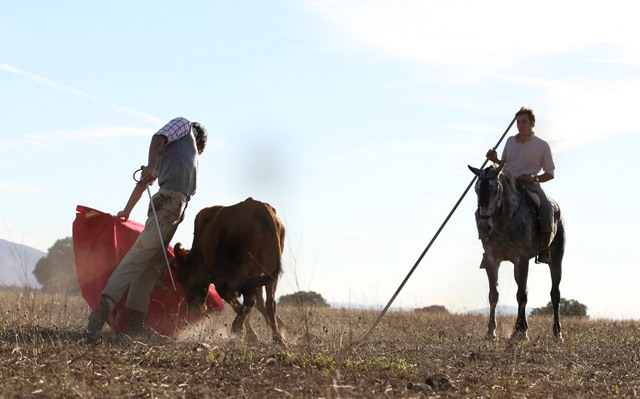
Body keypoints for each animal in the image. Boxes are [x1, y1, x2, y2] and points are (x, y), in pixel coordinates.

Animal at [175, 197, 284, 344]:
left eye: (184, 279)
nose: (194, 310)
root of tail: (256, 206)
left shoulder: (222, 285)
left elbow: (237, 305)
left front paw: (249, 334)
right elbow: (257, 305)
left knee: (250, 300)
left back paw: (239, 328)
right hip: (268, 269)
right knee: (269, 303)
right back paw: (278, 338)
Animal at [464, 164, 564, 342]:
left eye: (495, 189)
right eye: (476, 189)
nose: (484, 226)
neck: (504, 219)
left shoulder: (522, 259)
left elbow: (522, 295)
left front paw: (522, 332)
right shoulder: (492, 260)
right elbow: (494, 295)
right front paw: (491, 332)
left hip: (556, 259)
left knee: (555, 294)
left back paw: (557, 333)